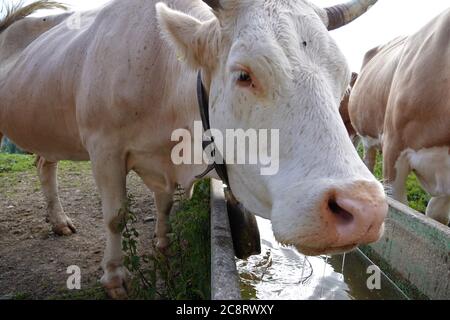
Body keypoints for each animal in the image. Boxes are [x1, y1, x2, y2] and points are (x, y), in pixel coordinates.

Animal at [0, 0, 386, 298]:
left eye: (343, 79)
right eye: (244, 75)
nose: (365, 209)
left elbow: (165, 206)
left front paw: (163, 244)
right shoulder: (104, 148)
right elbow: (115, 217)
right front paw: (114, 278)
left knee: (44, 164)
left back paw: (59, 220)